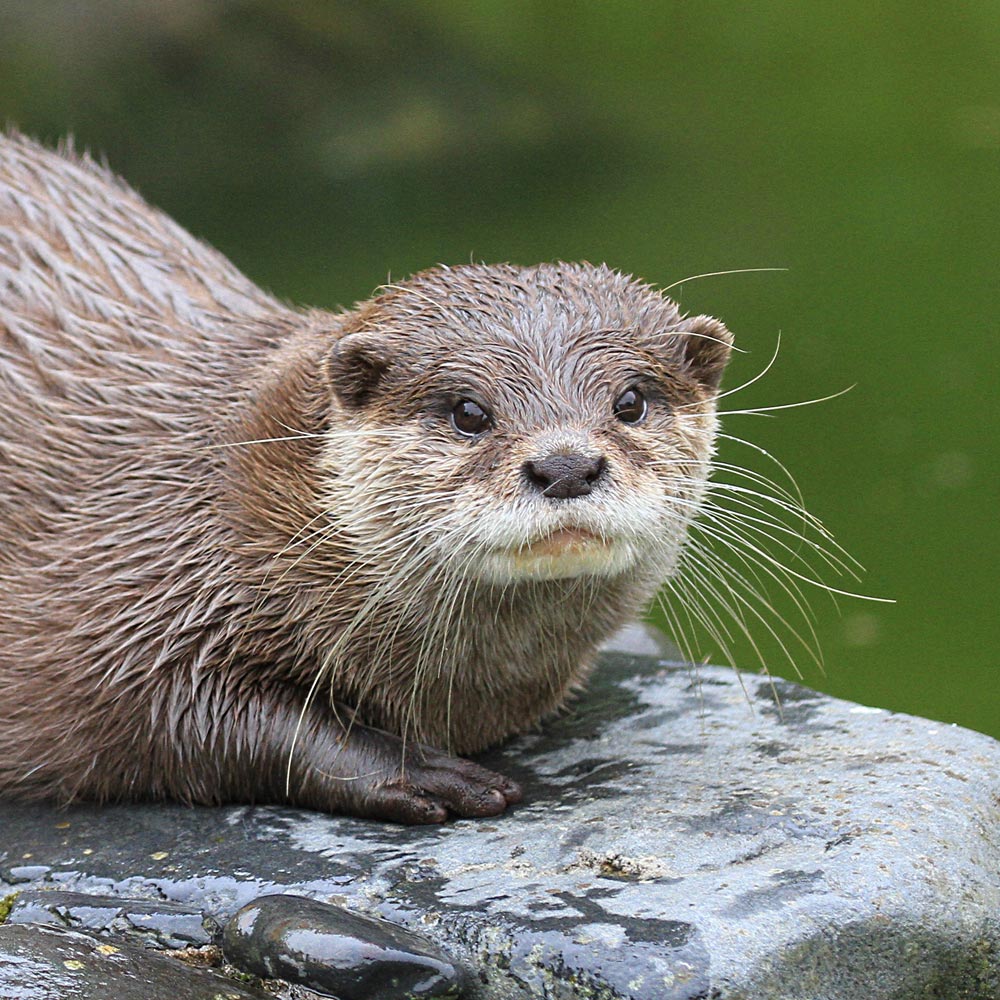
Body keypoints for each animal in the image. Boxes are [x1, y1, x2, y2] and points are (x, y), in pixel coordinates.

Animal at [0, 131, 736, 820]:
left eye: (631, 402)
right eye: (469, 411)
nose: (565, 465)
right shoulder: (114, 601)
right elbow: (171, 714)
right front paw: (416, 769)